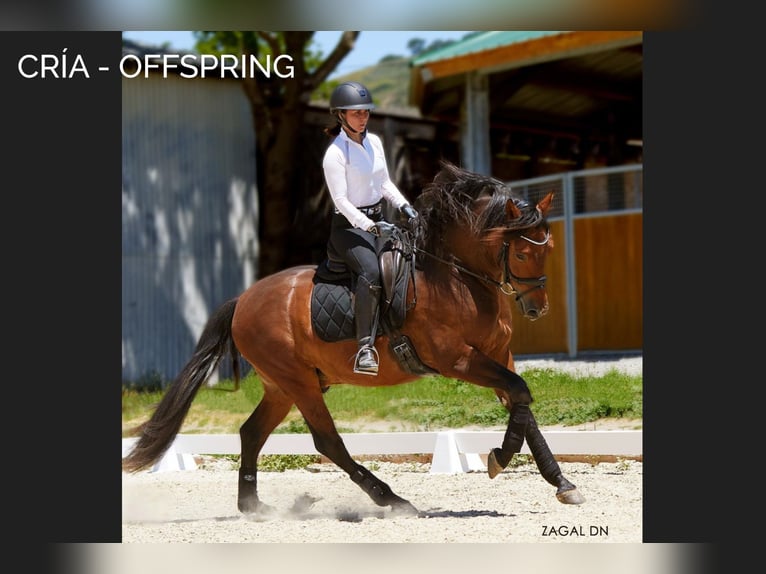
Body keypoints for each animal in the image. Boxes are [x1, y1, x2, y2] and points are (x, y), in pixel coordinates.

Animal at [122, 160, 585, 516]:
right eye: (522, 252)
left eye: (548, 248)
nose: (537, 308)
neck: (456, 278)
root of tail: (242, 300)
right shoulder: (457, 359)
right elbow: (519, 393)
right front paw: (500, 459)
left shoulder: (498, 354)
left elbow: (522, 404)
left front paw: (561, 483)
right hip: (298, 382)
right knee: (328, 441)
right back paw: (392, 499)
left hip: (282, 385)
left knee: (251, 433)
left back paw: (253, 507)